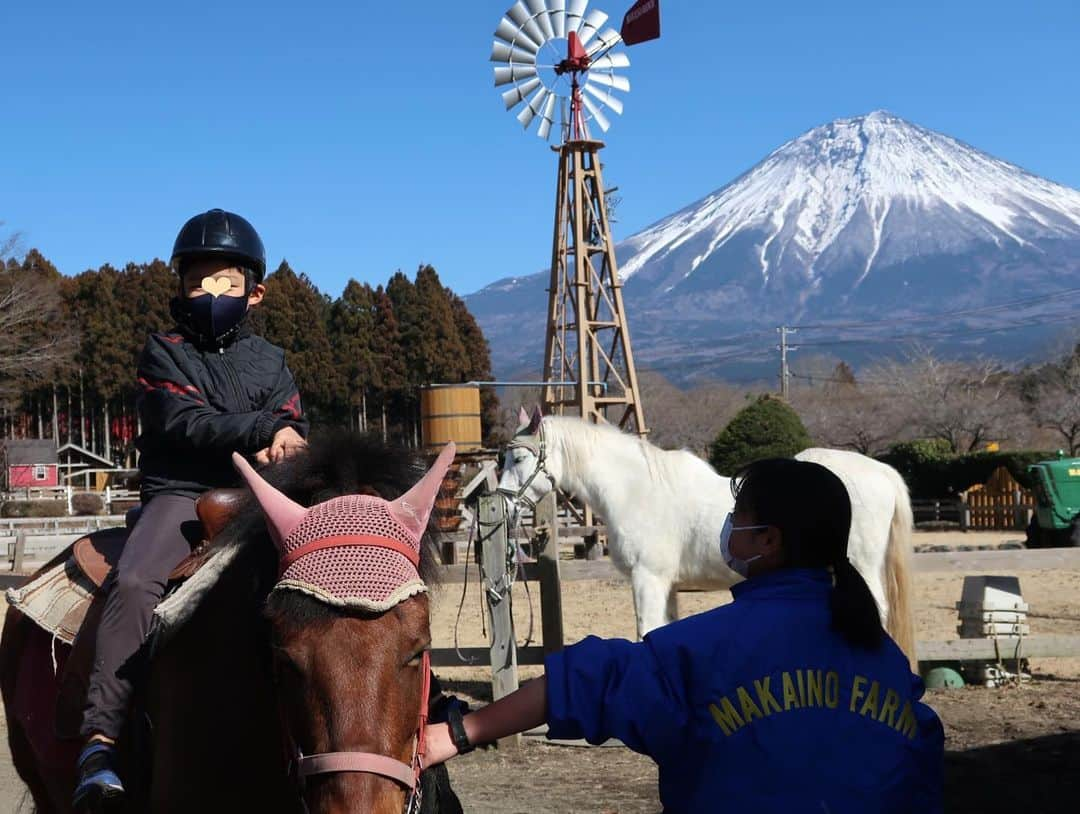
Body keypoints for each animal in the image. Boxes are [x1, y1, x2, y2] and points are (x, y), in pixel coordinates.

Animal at [501, 405, 915, 665]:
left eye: (519, 459)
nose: (503, 503)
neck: (636, 489)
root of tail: (881, 472)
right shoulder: (666, 584)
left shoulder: (648, 579)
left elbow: (646, 630)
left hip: (860, 566)